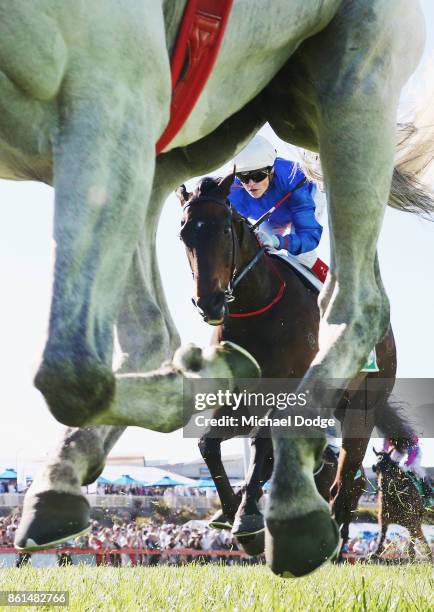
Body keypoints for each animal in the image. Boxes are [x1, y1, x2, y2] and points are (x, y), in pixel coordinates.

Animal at [177, 172, 418, 564]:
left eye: (224, 230)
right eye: (184, 234)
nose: (209, 303)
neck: (257, 308)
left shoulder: (288, 393)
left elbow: (263, 444)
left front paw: (248, 520)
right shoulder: (239, 400)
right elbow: (208, 445)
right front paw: (231, 512)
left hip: (363, 407)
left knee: (346, 480)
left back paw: (332, 544)